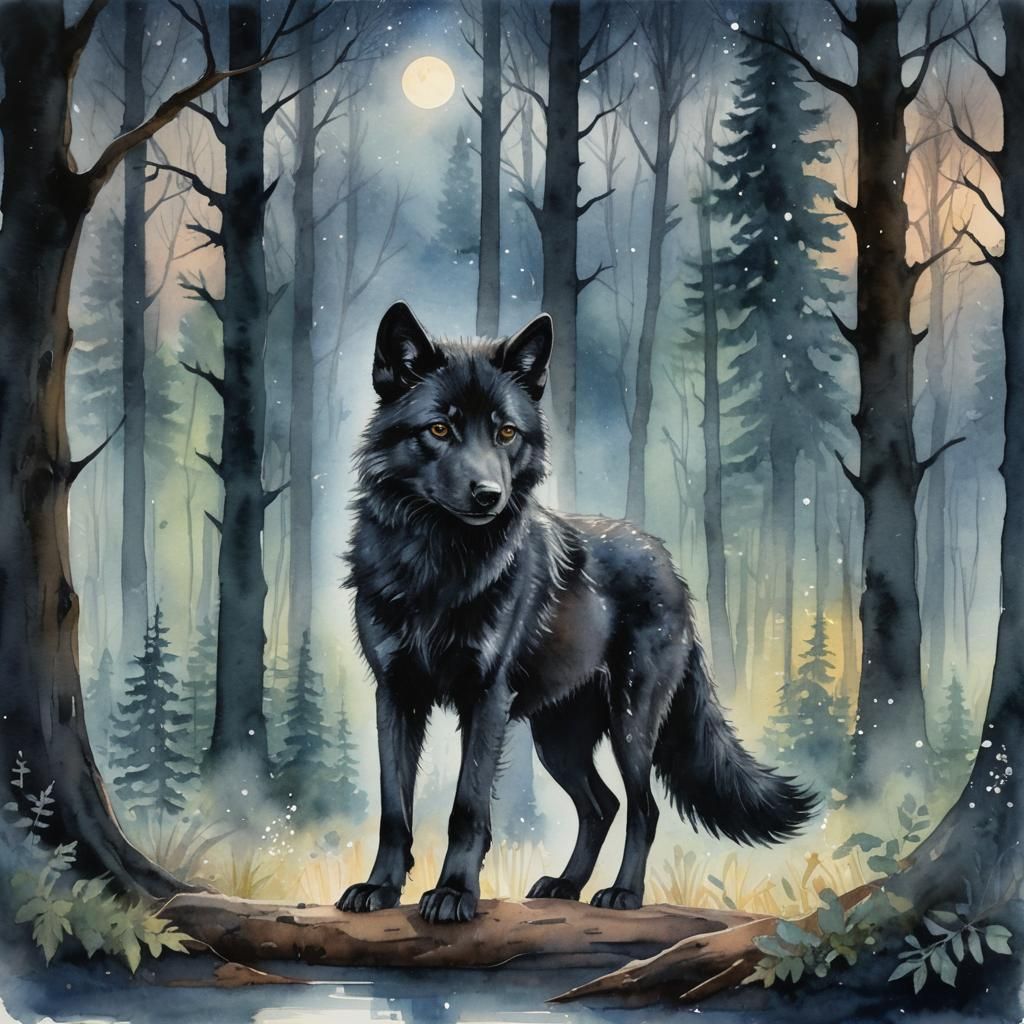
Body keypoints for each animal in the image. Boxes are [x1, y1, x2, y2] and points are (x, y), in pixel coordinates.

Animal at [336, 302, 816, 924]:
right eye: (439, 428)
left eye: (505, 432)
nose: (489, 494)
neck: (437, 566)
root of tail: (671, 566)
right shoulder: (395, 694)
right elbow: (395, 808)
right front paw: (380, 888)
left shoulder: (486, 698)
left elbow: (468, 808)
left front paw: (454, 894)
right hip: (557, 738)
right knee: (601, 805)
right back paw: (566, 885)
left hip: (631, 724)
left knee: (642, 809)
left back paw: (623, 894)